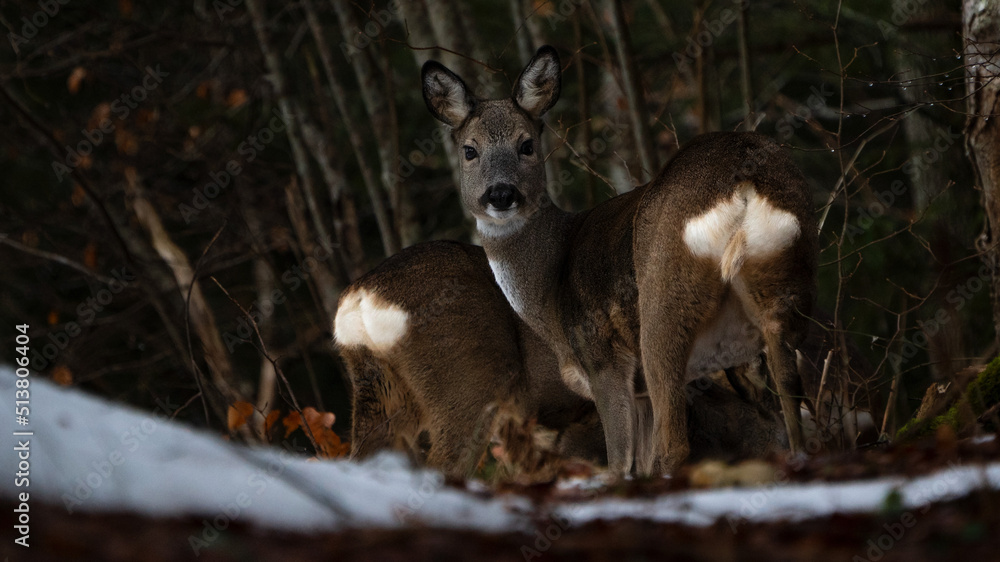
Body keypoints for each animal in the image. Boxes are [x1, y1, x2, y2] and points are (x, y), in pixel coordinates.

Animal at [421, 46, 818, 475]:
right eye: (470, 150)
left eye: (526, 144)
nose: (501, 194)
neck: (550, 287)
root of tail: (742, 177)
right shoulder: (637, 390)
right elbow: (637, 464)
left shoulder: (603, 360)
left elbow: (619, 463)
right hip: (786, 282)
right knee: (794, 407)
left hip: (664, 303)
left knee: (675, 441)